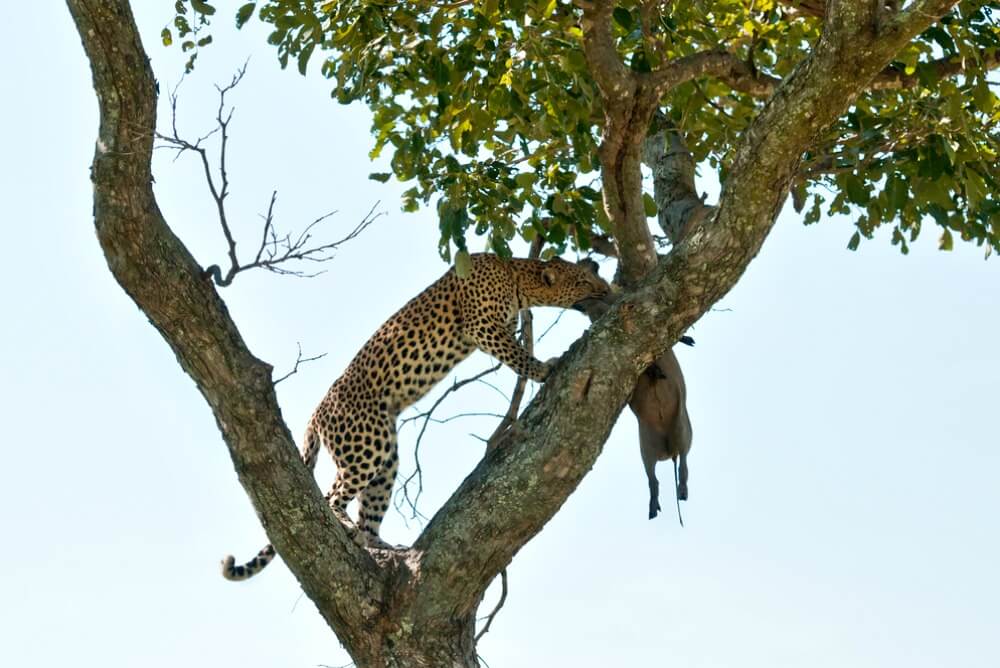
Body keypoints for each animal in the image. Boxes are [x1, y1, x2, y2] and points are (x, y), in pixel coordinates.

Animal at [222, 253, 609, 580]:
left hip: (384, 456)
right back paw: (346, 527)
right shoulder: (483, 327)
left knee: (367, 510)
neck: (517, 277)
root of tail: (316, 415)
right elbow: (517, 356)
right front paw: (544, 369)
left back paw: (382, 545)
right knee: (331, 496)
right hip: (365, 448)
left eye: (595, 278)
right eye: (585, 282)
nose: (607, 290)